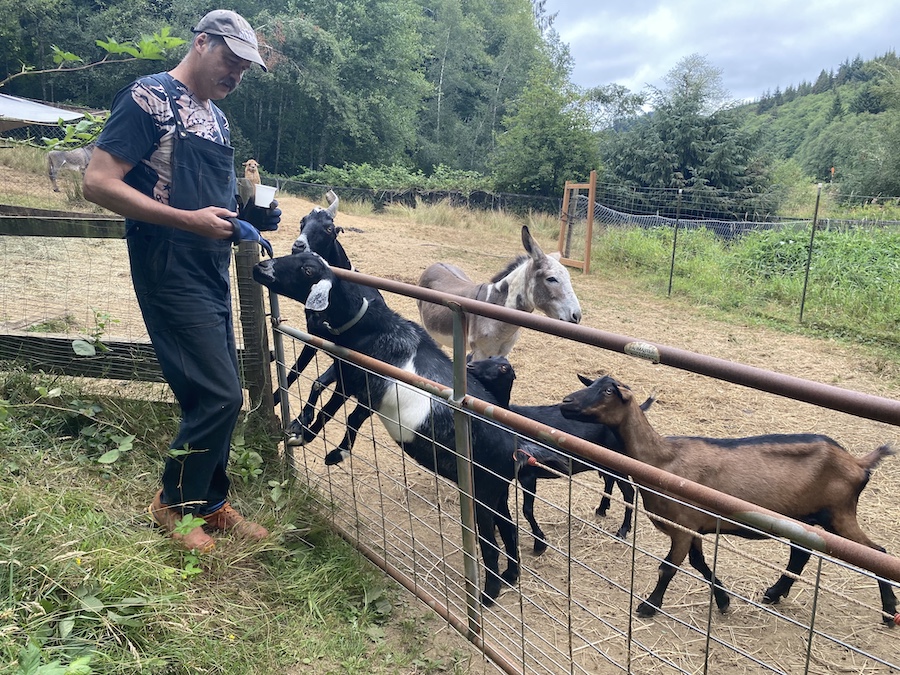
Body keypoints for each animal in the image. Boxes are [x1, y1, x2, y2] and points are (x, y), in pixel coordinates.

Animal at [251, 251, 568, 604]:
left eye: (307, 270)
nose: (261, 267)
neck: (374, 328)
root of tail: (517, 447)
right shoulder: (350, 378)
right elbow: (326, 405)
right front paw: (301, 432)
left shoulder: (367, 388)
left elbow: (347, 418)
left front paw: (332, 452)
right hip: (497, 489)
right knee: (509, 528)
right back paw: (511, 577)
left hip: (483, 492)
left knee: (490, 542)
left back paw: (488, 594)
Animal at [468, 356, 652, 552]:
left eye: (504, 368)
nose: (470, 366)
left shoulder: (528, 474)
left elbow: (527, 510)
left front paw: (539, 542)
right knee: (609, 481)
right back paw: (602, 508)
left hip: (619, 462)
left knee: (629, 493)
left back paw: (623, 530)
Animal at [560, 372, 896, 624]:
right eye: (588, 383)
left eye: (607, 391)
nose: (565, 402)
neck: (662, 461)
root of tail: (858, 463)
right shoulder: (694, 527)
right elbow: (699, 564)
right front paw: (723, 600)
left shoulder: (683, 526)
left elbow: (668, 567)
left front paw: (649, 606)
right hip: (805, 519)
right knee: (800, 554)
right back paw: (774, 593)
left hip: (839, 513)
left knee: (878, 553)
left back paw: (889, 609)